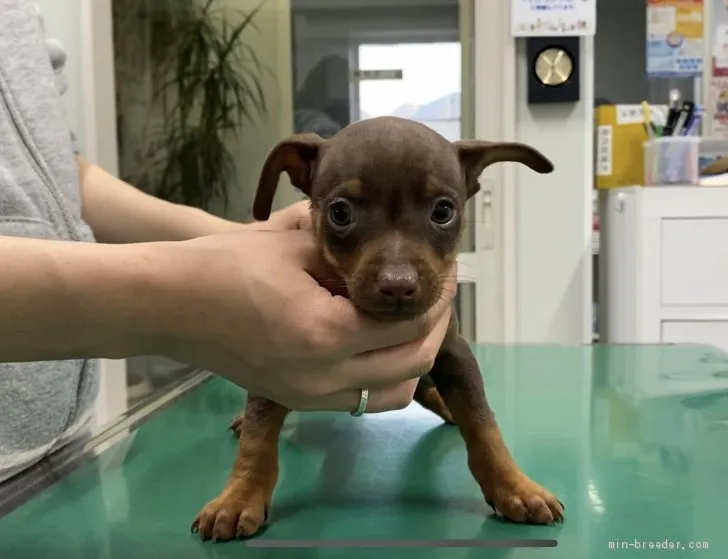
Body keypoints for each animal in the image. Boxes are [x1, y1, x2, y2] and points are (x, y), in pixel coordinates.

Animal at [192, 117, 564, 544]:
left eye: (443, 211)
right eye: (340, 213)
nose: (398, 285)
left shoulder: (453, 354)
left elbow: (483, 424)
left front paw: (515, 486)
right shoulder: (277, 362)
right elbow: (259, 432)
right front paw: (239, 496)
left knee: (432, 393)